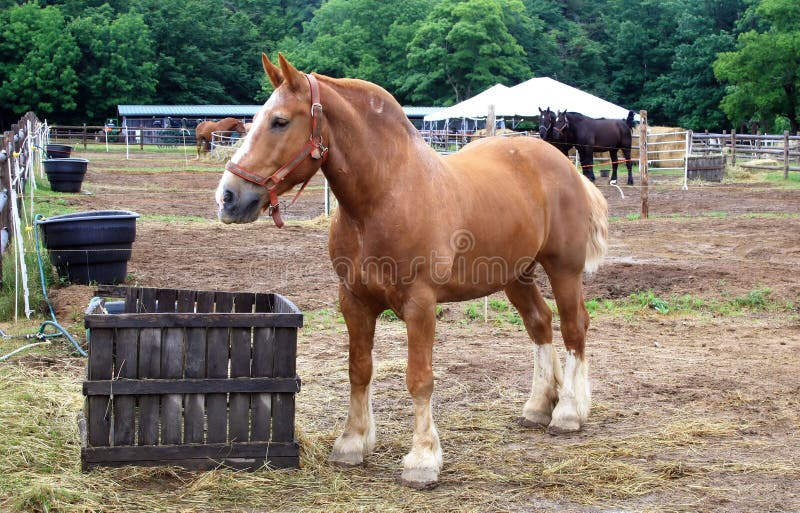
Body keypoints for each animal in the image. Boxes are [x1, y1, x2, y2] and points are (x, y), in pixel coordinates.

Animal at [216, 53, 609, 490]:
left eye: (280, 121)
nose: (228, 197)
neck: (383, 197)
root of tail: (564, 165)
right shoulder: (354, 301)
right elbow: (359, 370)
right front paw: (352, 442)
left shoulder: (419, 304)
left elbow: (419, 378)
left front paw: (422, 459)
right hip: (515, 275)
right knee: (540, 323)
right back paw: (539, 405)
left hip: (564, 269)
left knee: (574, 327)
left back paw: (569, 411)